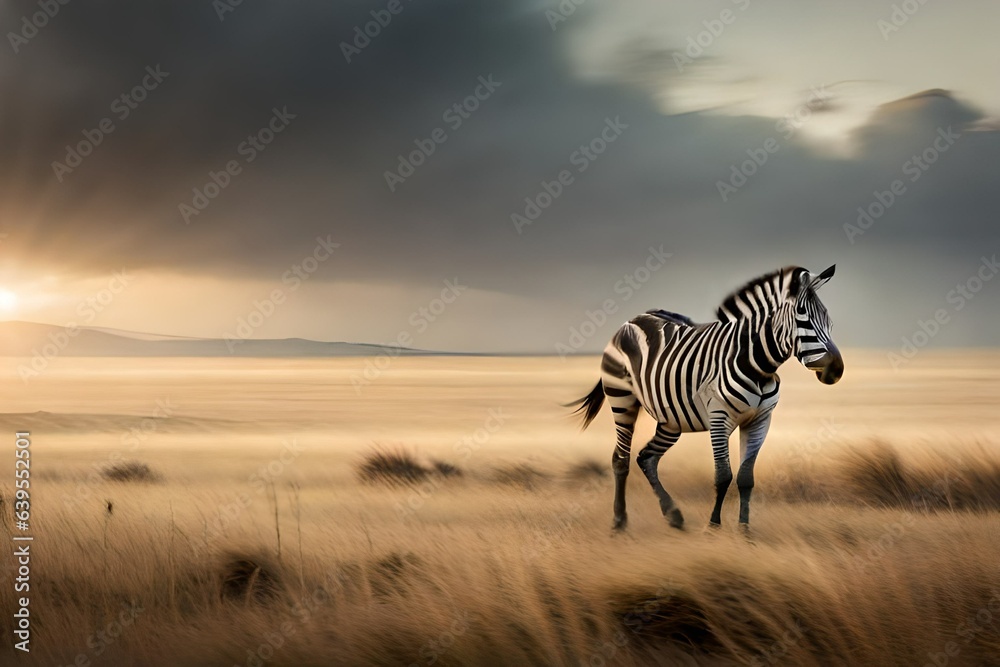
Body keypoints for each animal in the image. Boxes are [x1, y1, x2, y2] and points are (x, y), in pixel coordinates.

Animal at [568, 265, 843, 532]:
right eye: (802, 316)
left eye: (829, 320)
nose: (836, 370)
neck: (758, 366)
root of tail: (634, 319)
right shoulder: (719, 417)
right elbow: (723, 476)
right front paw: (713, 526)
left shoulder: (760, 421)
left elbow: (746, 477)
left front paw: (744, 530)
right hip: (622, 399)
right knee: (621, 459)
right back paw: (619, 521)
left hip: (671, 420)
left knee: (646, 457)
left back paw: (673, 515)